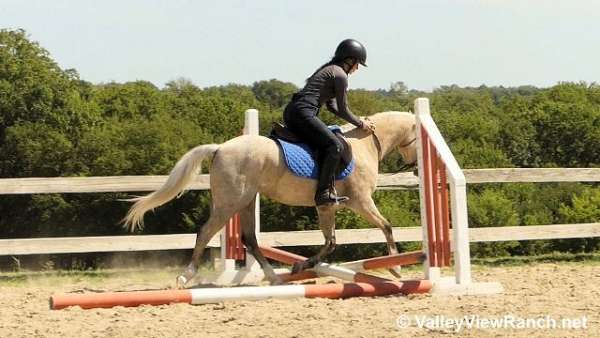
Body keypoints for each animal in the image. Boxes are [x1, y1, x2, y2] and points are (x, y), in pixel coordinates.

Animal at [122, 111, 418, 288]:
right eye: (416, 138)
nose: (416, 168)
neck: (366, 144)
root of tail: (219, 148)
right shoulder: (361, 201)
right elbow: (386, 226)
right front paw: (396, 269)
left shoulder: (326, 205)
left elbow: (330, 242)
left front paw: (301, 265)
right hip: (230, 203)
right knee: (206, 232)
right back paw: (186, 275)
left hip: (245, 202)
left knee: (249, 239)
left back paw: (274, 276)